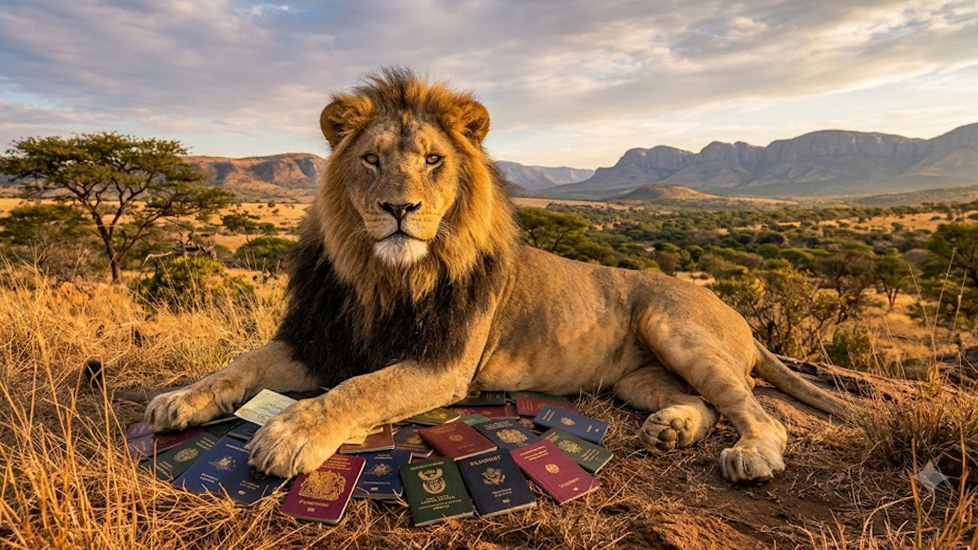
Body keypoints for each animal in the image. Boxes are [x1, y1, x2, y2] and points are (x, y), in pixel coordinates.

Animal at [147, 68, 849, 484]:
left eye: (433, 160)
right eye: (371, 160)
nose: (398, 209)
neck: (384, 277)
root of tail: (741, 319)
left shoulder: (444, 364)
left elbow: (357, 391)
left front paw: (291, 432)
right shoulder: (322, 339)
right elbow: (242, 364)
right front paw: (180, 398)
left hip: (673, 325)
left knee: (756, 410)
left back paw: (752, 455)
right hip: (639, 378)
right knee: (701, 401)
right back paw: (673, 428)